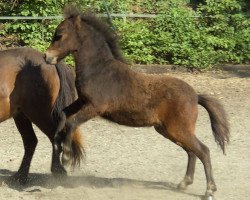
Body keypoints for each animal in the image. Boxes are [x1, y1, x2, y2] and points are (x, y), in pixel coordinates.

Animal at [0, 47, 84, 184]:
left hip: (39, 113)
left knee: (55, 138)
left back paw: (58, 172)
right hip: (21, 114)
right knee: (31, 141)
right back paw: (20, 177)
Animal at [44, 7, 229, 199]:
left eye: (59, 35)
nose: (46, 56)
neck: (100, 70)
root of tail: (195, 96)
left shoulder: (94, 107)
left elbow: (72, 122)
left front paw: (66, 156)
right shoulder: (82, 101)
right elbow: (63, 115)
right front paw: (57, 144)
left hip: (179, 130)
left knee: (203, 151)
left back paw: (209, 190)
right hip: (169, 131)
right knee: (192, 152)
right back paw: (184, 183)